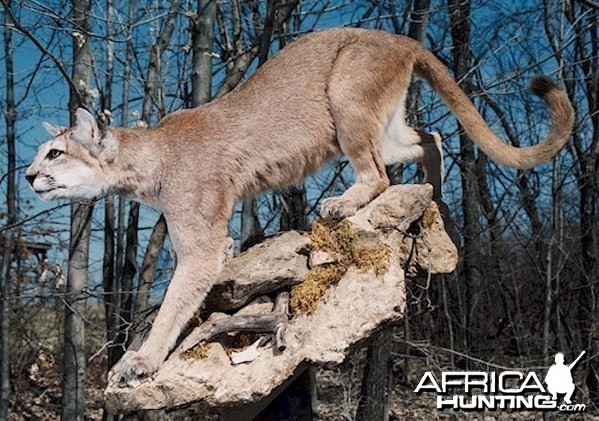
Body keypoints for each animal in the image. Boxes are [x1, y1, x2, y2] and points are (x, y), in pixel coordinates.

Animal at [25, 26, 576, 380]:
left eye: (54, 152)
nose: (28, 175)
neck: (145, 161)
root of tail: (399, 38)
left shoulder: (201, 245)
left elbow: (173, 304)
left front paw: (139, 361)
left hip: (346, 95)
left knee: (377, 174)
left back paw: (342, 204)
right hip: (384, 128)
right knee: (430, 138)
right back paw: (433, 196)